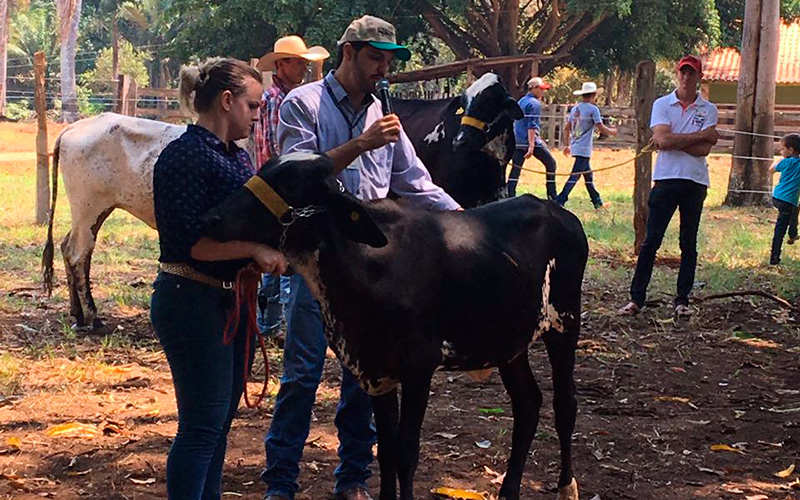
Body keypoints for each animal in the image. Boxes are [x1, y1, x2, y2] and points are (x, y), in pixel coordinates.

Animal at [200, 151, 588, 500]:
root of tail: (559, 212)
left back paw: (567, 486)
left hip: (564, 324)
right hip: (508, 341)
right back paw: (508, 491)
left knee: (565, 405)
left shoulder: (419, 366)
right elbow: (385, 452)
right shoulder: (375, 370)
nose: (212, 217)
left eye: (291, 182)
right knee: (528, 403)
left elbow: (405, 453)